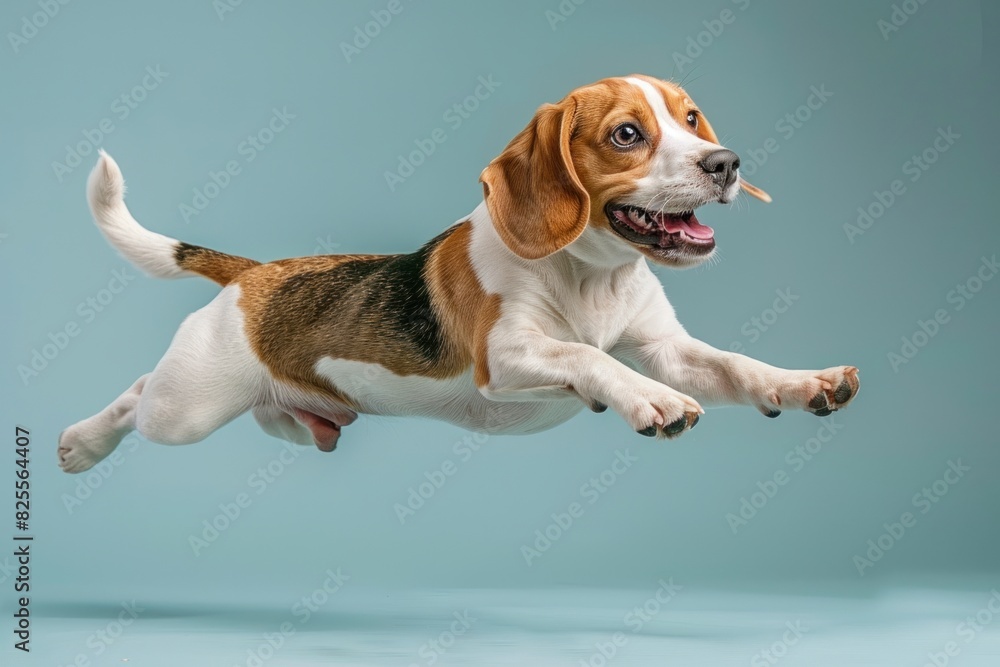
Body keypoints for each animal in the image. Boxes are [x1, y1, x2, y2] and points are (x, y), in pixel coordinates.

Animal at [58, 75, 860, 474]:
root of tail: (256, 275)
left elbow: (737, 364)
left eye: (691, 119)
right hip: (185, 409)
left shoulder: (669, 348)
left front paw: (806, 382)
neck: (590, 274)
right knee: (137, 396)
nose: (726, 163)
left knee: (266, 415)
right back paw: (81, 444)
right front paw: (647, 399)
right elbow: (589, 356)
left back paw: (300, 421)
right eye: (627, 134)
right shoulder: (504, 357)